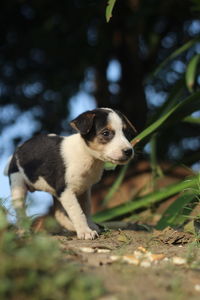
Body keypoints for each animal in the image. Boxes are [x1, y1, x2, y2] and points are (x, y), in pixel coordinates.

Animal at [3, 107, 137, 239]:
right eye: (106, 133)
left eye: (126, 133)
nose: (129, 151)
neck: (88, 156)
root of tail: (17, 151)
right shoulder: (66, 191)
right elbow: (78, 212)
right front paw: (85, 231)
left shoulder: (84, 190)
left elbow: (86, 209)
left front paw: (90, 226)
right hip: (18, 186)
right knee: (20, 212)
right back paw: (23, 232)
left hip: (56, 192)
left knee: (58, 215)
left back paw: (71, 228)